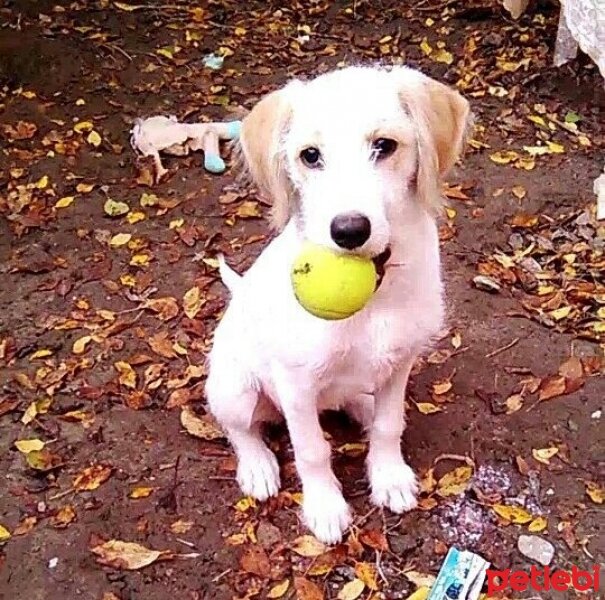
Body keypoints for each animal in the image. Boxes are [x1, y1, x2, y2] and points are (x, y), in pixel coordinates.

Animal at [205, 64, 470, 544]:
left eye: (385, 146)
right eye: (310, 156)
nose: (348, 231)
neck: (377, 298)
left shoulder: (401, 360)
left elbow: (389, 424)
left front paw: (388, 476)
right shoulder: (294, 385)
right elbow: (311, 450)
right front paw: (325, 506)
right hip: (234, 389)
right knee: (240, 429)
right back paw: (257, 466)